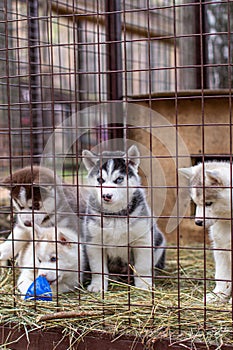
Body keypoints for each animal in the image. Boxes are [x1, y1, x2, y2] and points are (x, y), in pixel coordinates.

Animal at [82, 145, 166, 292]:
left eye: (119, 179)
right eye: (100, 180)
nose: (106, 196)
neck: (115, 215)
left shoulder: (143, 240)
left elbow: (142, 266)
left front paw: (144, 284)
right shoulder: (94, 241)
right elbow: (98, 268)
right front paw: (98, 285)